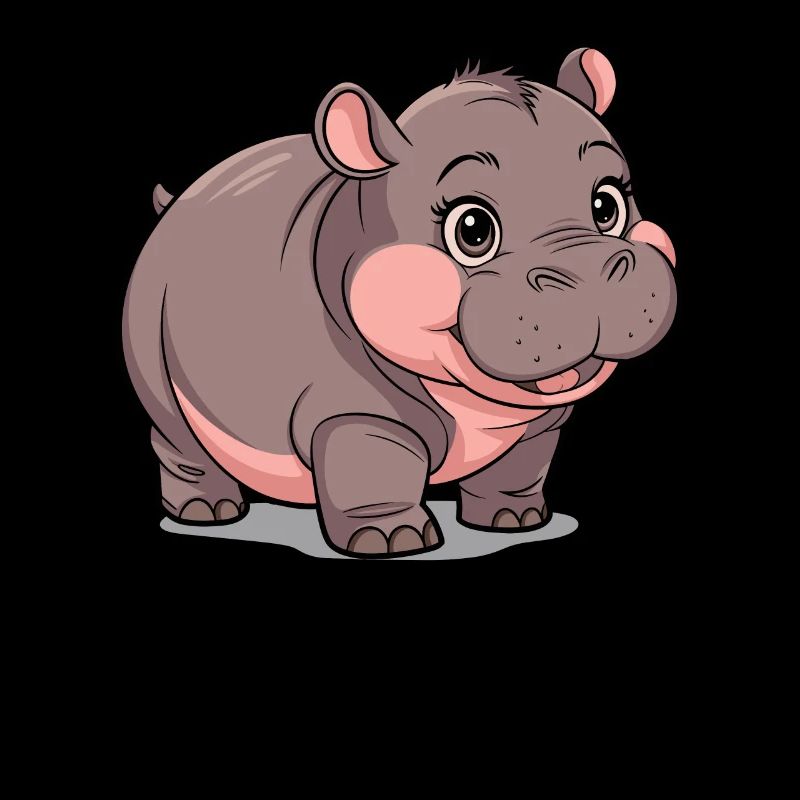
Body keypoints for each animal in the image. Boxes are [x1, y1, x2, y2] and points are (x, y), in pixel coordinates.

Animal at [123, 48, 676, 558]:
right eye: (472, 229)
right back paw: (207, 513)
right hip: (148, 322)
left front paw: (515, 521)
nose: (592, 273)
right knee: (174, 431)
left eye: (608, 204)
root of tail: (179, 201)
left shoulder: (541, 421)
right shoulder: (355, 410)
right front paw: (393, 541)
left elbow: (520, 465)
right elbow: (377, 466)